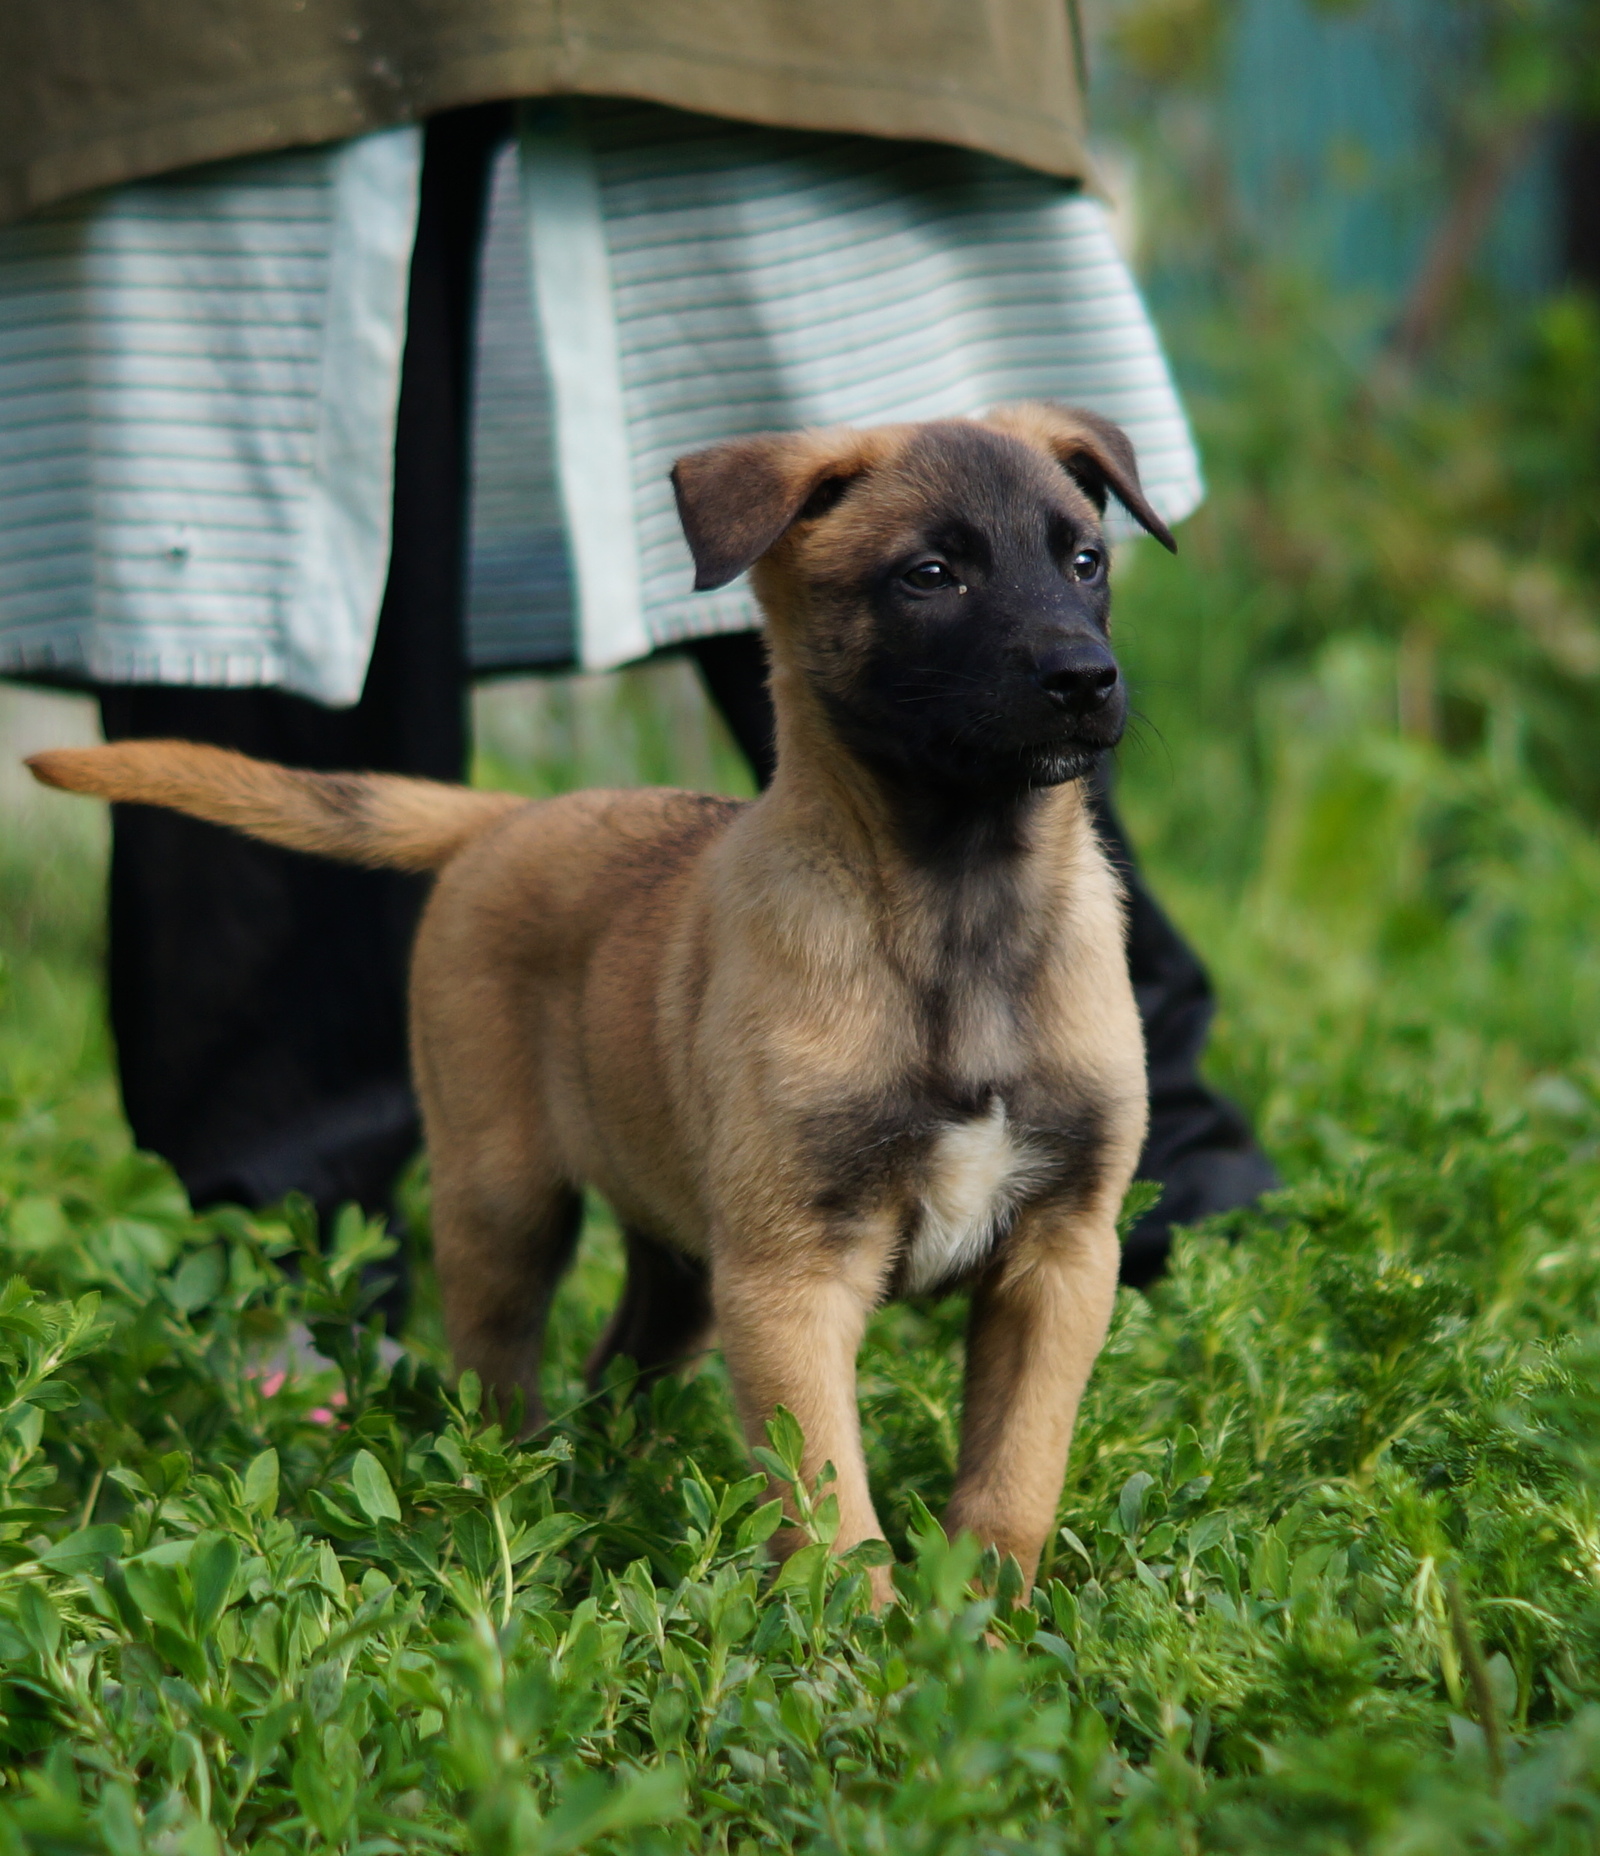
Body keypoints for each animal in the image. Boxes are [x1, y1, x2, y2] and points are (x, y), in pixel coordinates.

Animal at [28, 402, 1180, 1596]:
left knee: (615, 1365)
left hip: (681, 1260)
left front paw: (982, 1623)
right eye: (930, 574)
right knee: (502, 1378)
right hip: (503, 1201)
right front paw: (857, 1634)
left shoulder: (1060, 1257)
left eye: (1085, 562)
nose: (1085, 678)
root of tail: (507, 817)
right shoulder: (790, 1278)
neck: (959, 901)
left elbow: (1012, 1478)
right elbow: (827, 1506)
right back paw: (521, 1502)